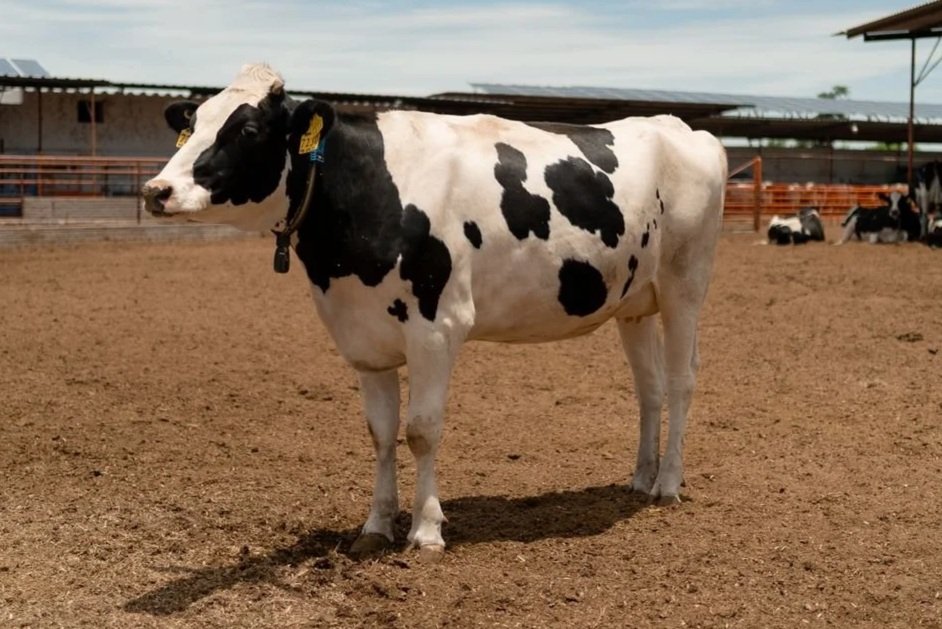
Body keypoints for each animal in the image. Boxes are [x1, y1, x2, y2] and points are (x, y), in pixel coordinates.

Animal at [141, 64, 728, 560]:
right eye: (191, 125)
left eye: (247, 129)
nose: (156, 190)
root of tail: (675, 125)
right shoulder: (363, 338)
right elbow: (381, 433)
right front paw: (376, 526)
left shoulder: (437, 328)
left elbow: (422, 429)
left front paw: (426, 531)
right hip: (634, 302)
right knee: (650, 387)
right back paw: (642, 476)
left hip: (686, 284)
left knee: (681, 381)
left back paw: (668, 484)